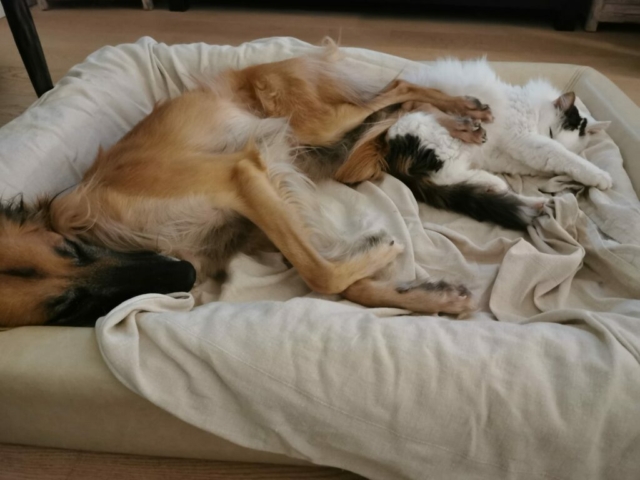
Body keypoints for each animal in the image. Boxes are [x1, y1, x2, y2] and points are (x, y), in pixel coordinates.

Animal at [0, 43, 493, 328]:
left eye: (70, 249)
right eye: (66, 307)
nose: (186, 275)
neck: (111, 231)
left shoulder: (239, 176)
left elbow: (319, 271)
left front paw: (386, 252)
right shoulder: (267, 200)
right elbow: (338, 278)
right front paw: (434, 296)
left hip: (314, 123)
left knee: (398, 86)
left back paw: (466, 111)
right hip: (333, 155)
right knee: (391, 108)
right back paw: (458, 122)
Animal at [385, 58, 612, 230]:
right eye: (549, 132)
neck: (533, 108)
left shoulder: (518, 157)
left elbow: (555, 161)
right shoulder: (526, 139)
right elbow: (562, 155)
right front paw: (600, 176)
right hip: (448, 141)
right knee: (445, 177)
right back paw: (499, 184)